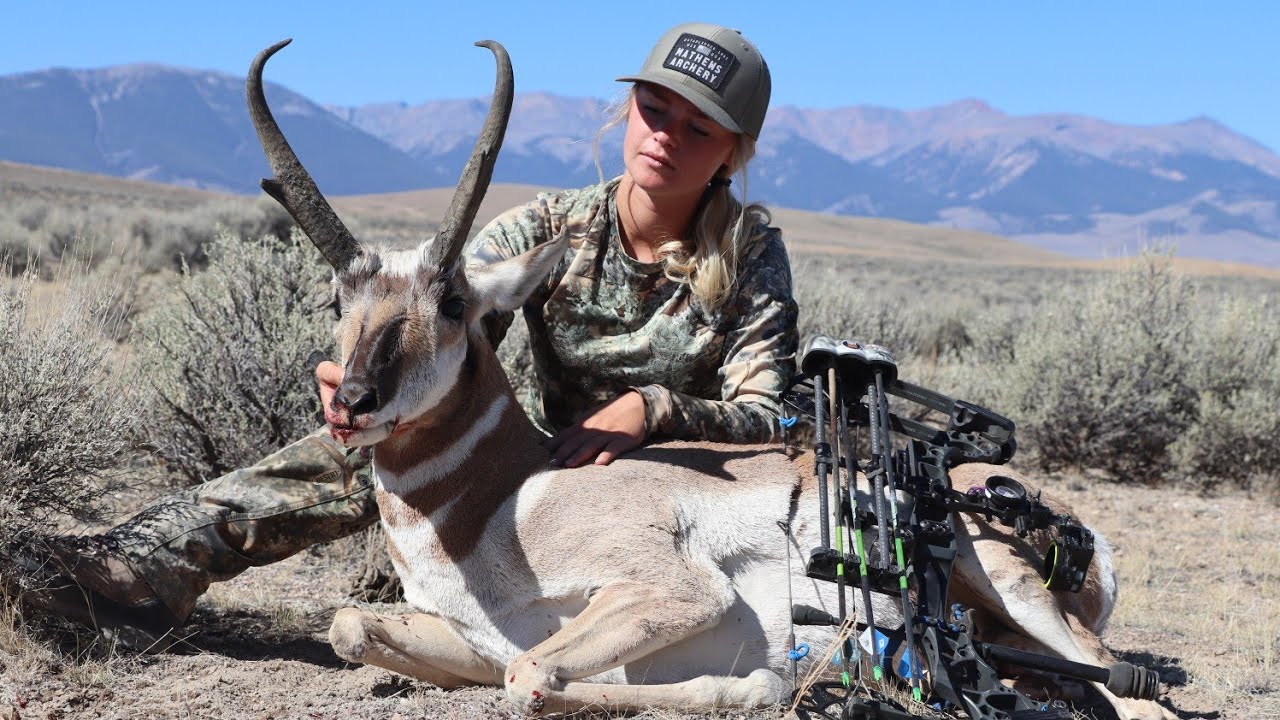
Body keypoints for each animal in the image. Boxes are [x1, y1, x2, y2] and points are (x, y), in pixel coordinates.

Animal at [246, 39, 1174, 720]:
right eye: (338, 297)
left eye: (450, 300)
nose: (351, 404)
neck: (507, 496)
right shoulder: (473, 637)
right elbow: (353, 623)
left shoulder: (670, 591)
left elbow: (535, 677)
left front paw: (764, 681)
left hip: (1017, 595)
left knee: (1133, 695)